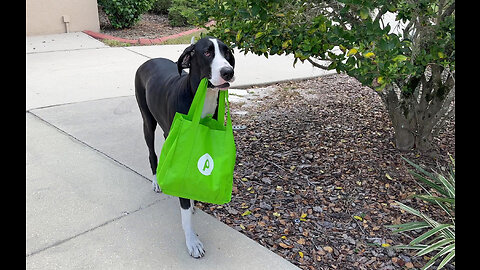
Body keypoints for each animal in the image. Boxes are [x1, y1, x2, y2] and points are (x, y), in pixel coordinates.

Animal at [134, 37, 235, 258]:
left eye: (227, 52)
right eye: (207, 52)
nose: (228, 72)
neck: (203, 97)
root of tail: (149, 61)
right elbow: (185, 212)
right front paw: (192, 241)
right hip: (148, 122)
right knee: (152, 154)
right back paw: (157, 181)